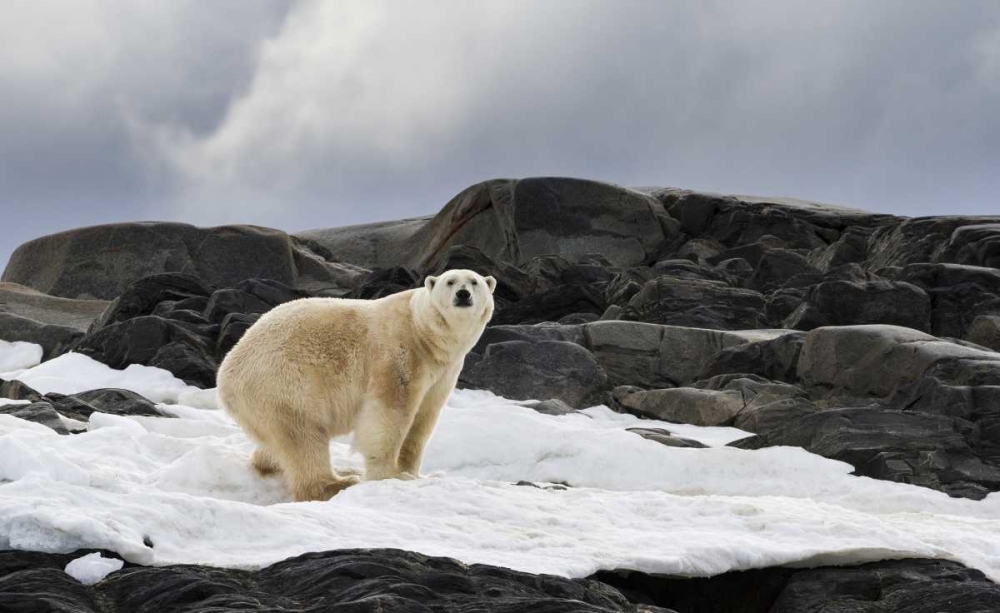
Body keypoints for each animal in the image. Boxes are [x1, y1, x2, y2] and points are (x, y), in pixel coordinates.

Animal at [217, 270, 494, 500]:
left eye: (474, 282)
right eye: (450, 281)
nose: (463, 294)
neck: (423, 332)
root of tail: (226, 373)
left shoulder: (443, 370)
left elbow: (423, 418)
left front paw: (411, 473)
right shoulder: (400, 351)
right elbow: (389, 411)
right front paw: (388, 475)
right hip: (284, 382)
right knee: (303, 436)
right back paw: (338, 482)